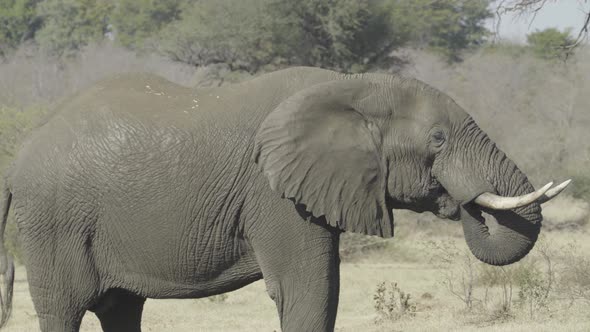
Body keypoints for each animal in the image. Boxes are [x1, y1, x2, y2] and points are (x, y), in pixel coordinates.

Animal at [0, 66, 568, 330]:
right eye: (438, 140)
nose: (461, 199)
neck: (352, 88)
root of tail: (20, 153)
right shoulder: (274, 196)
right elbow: (309, 292)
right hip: (54, 222)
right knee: (64, 309)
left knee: (121, 310)